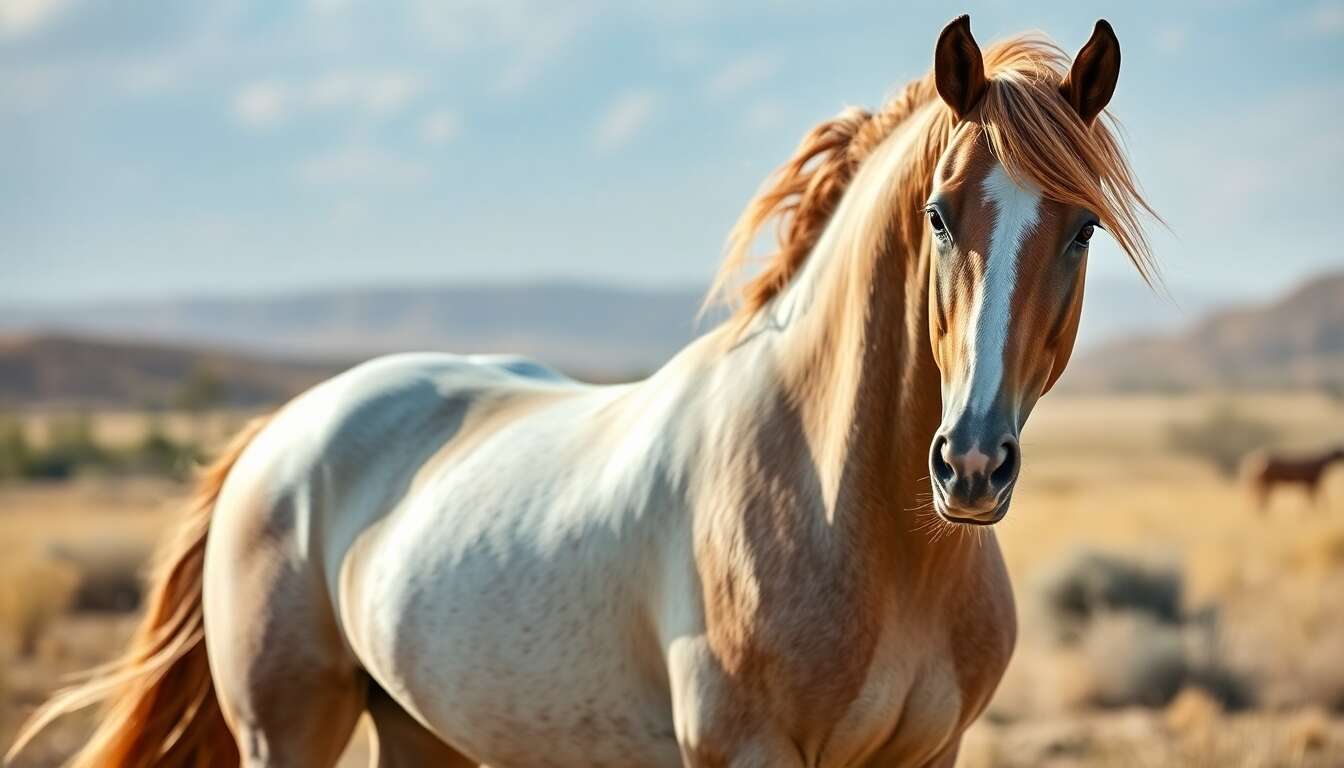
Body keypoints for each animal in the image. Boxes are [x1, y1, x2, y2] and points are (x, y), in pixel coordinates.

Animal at [11, 15, 1155, 768]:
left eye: (1082, 229)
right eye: (939, 214)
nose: (972, 466)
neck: (860, 524)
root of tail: (275, 439)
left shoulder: (927, 755)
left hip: (421, 731)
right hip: (285, 731)